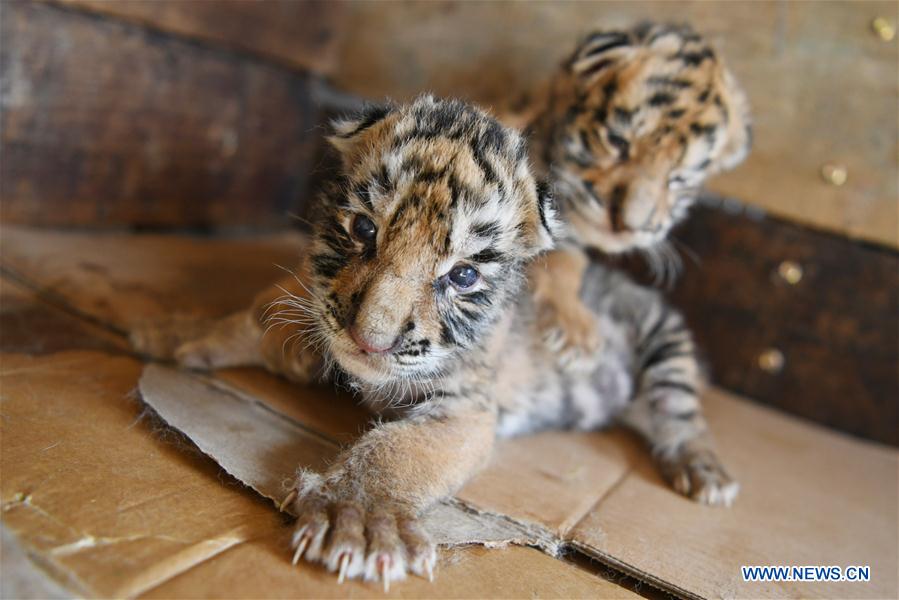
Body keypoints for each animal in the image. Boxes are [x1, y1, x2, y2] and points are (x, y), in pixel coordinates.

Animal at [131, 95, 737, 588]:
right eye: (364, 230)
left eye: (463, 276)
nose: (369, 340)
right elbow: (252, 319)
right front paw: (168, 329)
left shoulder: (465, 407)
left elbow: (399, 449)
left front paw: (359, 521)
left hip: (664, 337)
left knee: (681, 410)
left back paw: (704, 473)